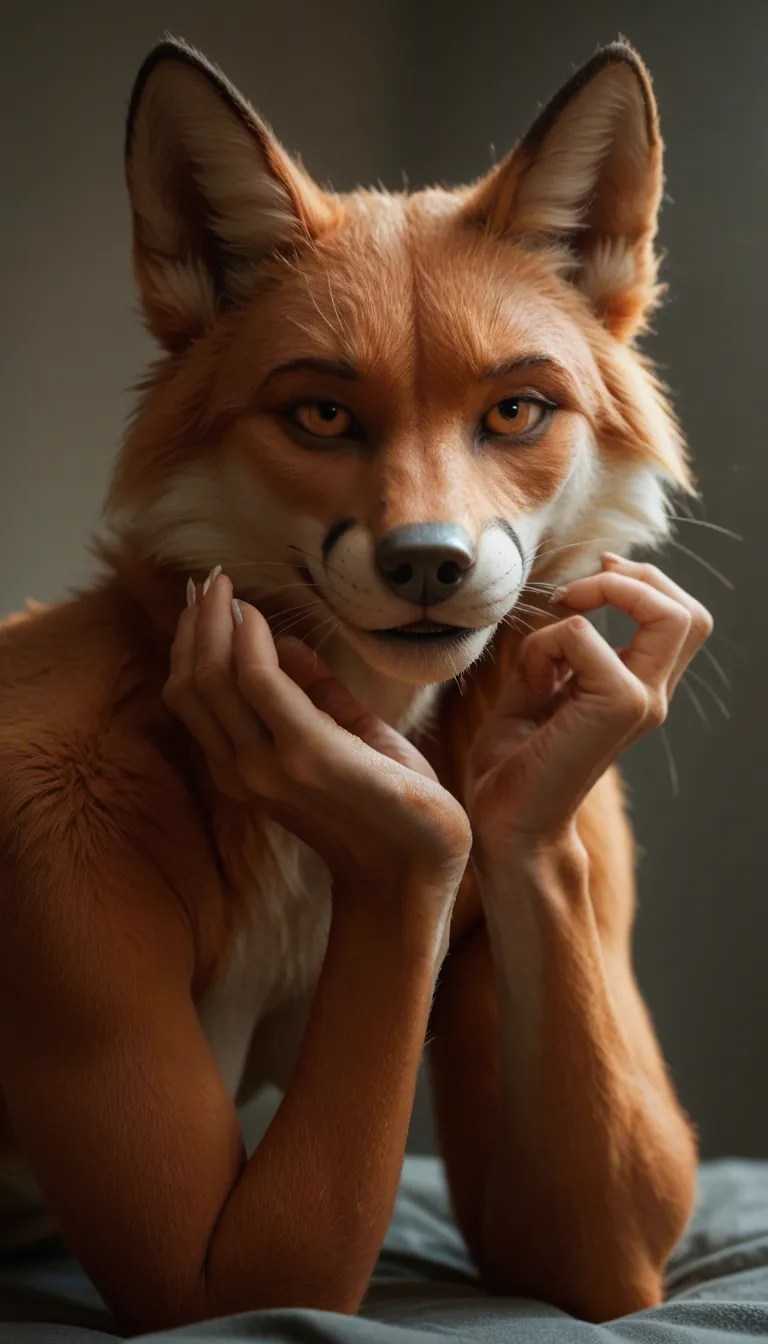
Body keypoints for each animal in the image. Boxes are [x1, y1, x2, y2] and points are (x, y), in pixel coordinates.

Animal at [0, 35, 711, 1334]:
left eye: (515, 409)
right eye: (323, 413)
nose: (428, 561)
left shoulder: (551, 844)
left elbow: (589, 1245)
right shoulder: (47, 840)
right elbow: (228, 1280)